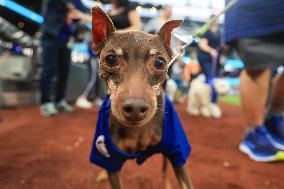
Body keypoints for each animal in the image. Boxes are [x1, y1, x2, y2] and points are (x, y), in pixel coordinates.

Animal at [90, 5, 194, 189]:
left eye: (160, 63)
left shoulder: (178, 153)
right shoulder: (110, 160)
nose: (135, 108)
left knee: (164, 169)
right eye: (111, 59)